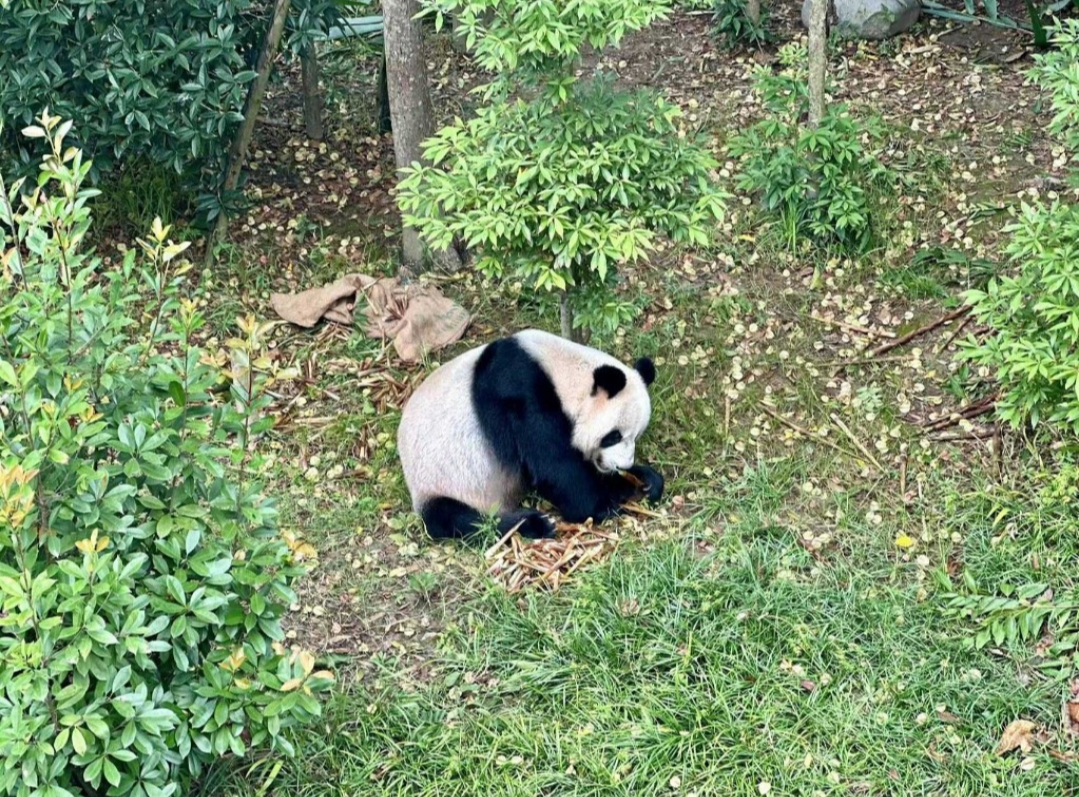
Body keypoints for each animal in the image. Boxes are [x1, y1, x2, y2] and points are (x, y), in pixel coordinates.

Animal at [399, 327, 660, 539]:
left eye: (636, 436)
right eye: (613, 436)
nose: (623, 464)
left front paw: (644, 480)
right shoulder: (521, 393)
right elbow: (554, 467)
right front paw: (600, 505)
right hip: (440, 481)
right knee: (457, 519)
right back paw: (533, 524)